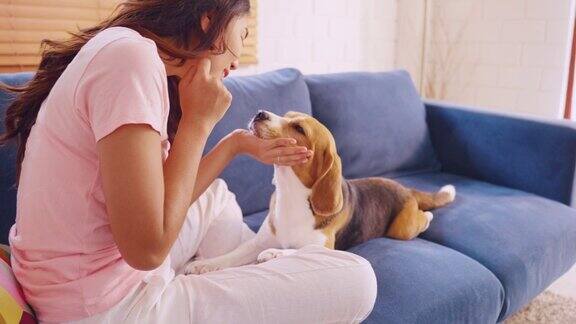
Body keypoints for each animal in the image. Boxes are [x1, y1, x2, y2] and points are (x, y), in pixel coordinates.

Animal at [184, 110, 454, 274]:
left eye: (299, 128)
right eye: (285, 115)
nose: (261, 113)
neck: (291, 194)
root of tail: (405, 188)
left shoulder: (324, 249)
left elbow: (298, 249)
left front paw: (274, 253)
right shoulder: (257, 241)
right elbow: (232, 255)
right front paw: (204, 264)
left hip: (402, 229)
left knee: (422, 219)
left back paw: (428, 215)